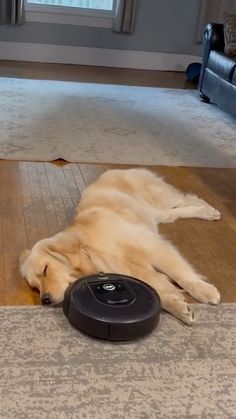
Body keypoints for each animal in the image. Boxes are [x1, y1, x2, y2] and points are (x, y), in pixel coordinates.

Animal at [19, 169, 220, 326]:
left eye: (45, 270)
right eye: (35, 287)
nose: (44, 300)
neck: (91, 248)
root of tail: (116, 170)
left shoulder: (153, 247)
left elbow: (182, 275)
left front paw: (205, 291)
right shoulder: (133, 269)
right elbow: (161, 290)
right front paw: (180, 307)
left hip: (159, 198)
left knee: (186, 198)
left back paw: (208, 210)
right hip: (156, 213)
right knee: (176, 211)